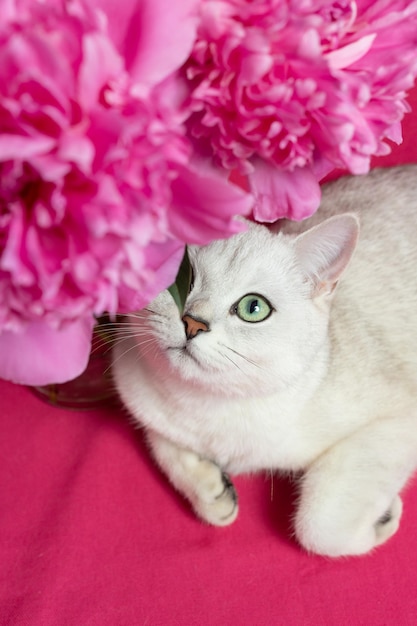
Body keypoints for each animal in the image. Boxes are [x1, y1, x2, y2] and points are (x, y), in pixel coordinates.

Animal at [112, 166, 416, 556]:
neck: (211, 407)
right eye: (183, 278)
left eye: (253, 308)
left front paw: (381, 521)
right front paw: (212, 491)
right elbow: (162, 443)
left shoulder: (399, 420)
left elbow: (319, 526)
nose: (193, 323)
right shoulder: (138, 395)